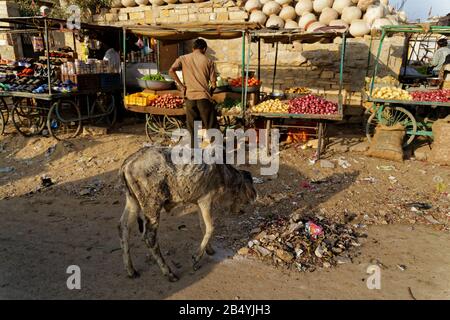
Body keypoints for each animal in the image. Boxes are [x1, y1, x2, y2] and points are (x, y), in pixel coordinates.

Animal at [118, 146, 256, 282]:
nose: (242, 210)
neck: (223, 174)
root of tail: (128, 163)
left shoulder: (199, 202)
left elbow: (203, 226)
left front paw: (209, 249)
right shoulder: (206, 200)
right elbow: (211, 227)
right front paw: (197, 257)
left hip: (132, 201)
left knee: (123, 227)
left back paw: (131, 270)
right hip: (151, 205)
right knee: (149, 237)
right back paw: (168, 272)